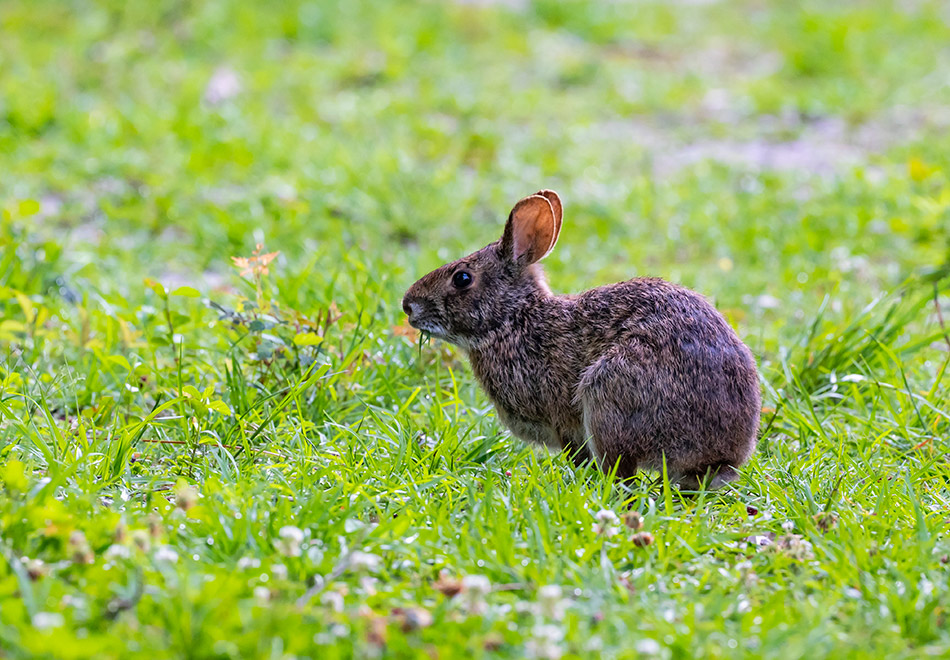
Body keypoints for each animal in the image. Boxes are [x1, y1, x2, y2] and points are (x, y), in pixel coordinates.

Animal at [406, 188, 764, 488]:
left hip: (608, 390)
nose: (407, 305)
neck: (514, 319)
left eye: (462, 278)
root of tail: (717, 460)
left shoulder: (563, 421)